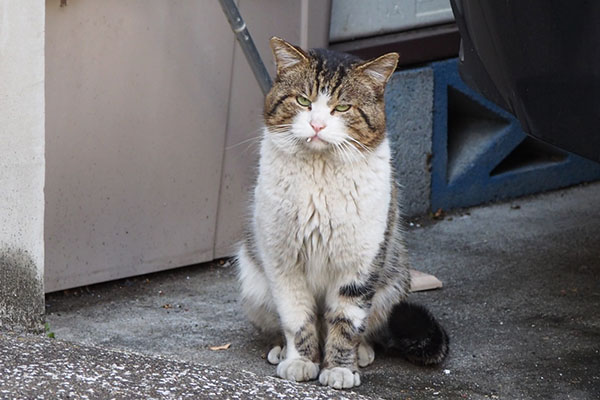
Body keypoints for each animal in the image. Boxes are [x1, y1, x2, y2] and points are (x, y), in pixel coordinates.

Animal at [237, 36, 448, 388]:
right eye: (303, 100)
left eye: (343, 108)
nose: (317, 125)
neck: (319, 177)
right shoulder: (283, 262)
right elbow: (297, 319)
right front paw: (300, 361)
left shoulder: (360, 263)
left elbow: (346, 323)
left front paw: (339, 368)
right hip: (254, 282)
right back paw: (280, 351)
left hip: (391, 278)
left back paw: (362, 353)